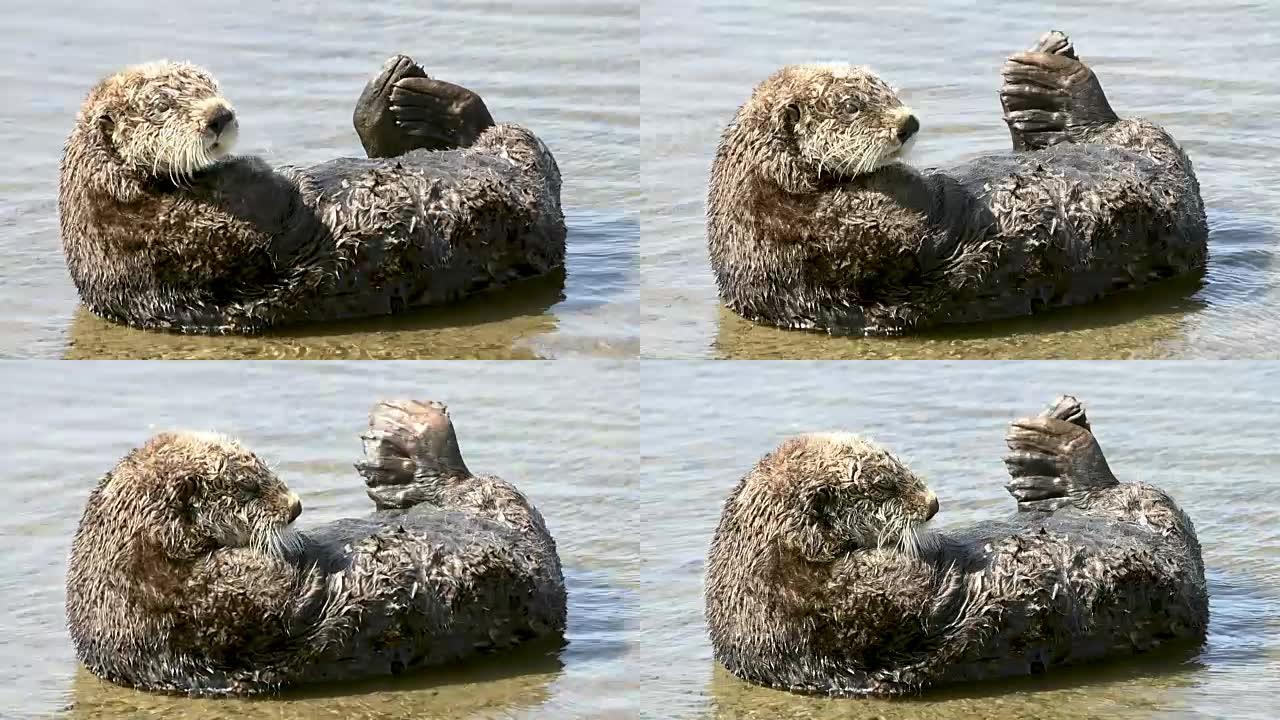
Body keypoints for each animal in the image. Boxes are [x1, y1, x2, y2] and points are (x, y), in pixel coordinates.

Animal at [61, 54, 565, 333]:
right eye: (164, 106)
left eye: (210, 87)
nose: (220, 115)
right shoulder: (172, 231)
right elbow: (267, 206)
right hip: (524, 185)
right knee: (509, 141)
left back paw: (402, 98)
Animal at [64, 399, 565, 691]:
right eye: (248, 487)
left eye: (264, 468)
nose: (296, 506)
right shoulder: (184, 606)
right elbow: (261, 601)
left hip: (501, 508)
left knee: (462, 486)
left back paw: (405, 434)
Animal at [711, 32, 1208, 335]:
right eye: (852, 106)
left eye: (887, 92)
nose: (908, 122)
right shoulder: (825, 234)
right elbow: (906, 225)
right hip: (1166, 177)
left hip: (1141, 145)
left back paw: (1043, 82)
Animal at [711, 394, 1208, 691]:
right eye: (885, 485)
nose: (932, 504)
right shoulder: (823, 608)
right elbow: (898, 598)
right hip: (1168, 542)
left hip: (1145, 508)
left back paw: (1053, 442)